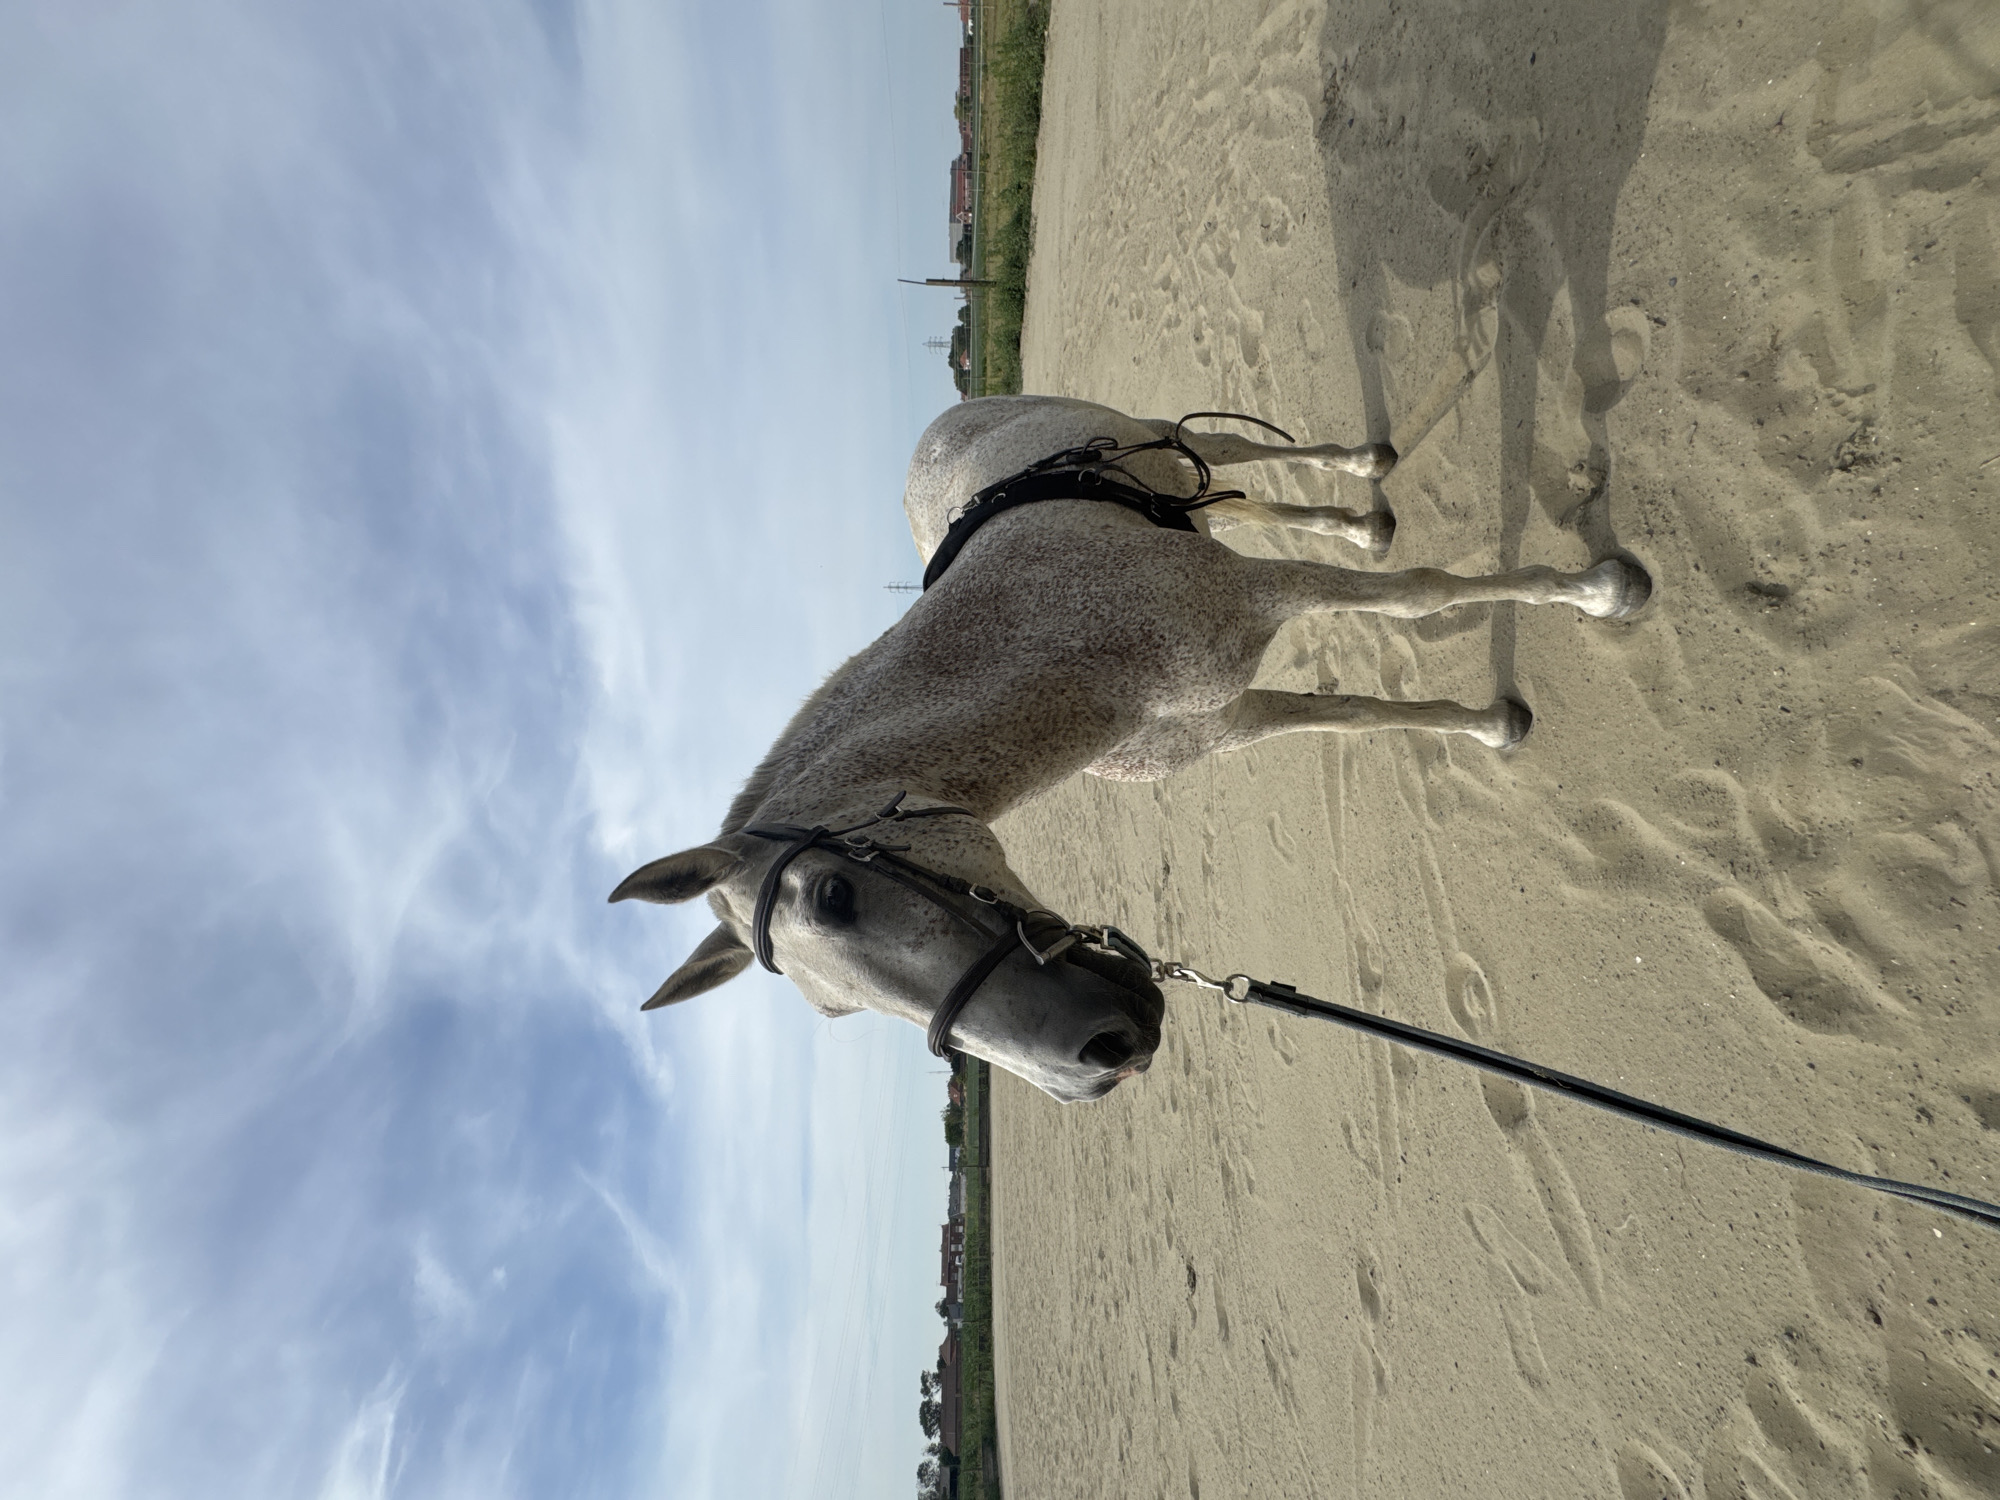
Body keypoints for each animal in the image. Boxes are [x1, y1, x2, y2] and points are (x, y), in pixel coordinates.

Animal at [610, 395, 1650, 1102]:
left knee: (1246, 457)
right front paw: (1486, 723)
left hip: (1159, 432)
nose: (1098, 1060)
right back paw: (1361, 520)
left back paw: (1368, 470)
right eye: (838, 1015)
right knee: (1253, 503)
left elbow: (1421, 595)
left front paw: (1600, 592)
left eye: (835, 894)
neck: (1043, 642)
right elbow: (1349, 714)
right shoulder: (1222, 718)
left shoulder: (1259, 594)